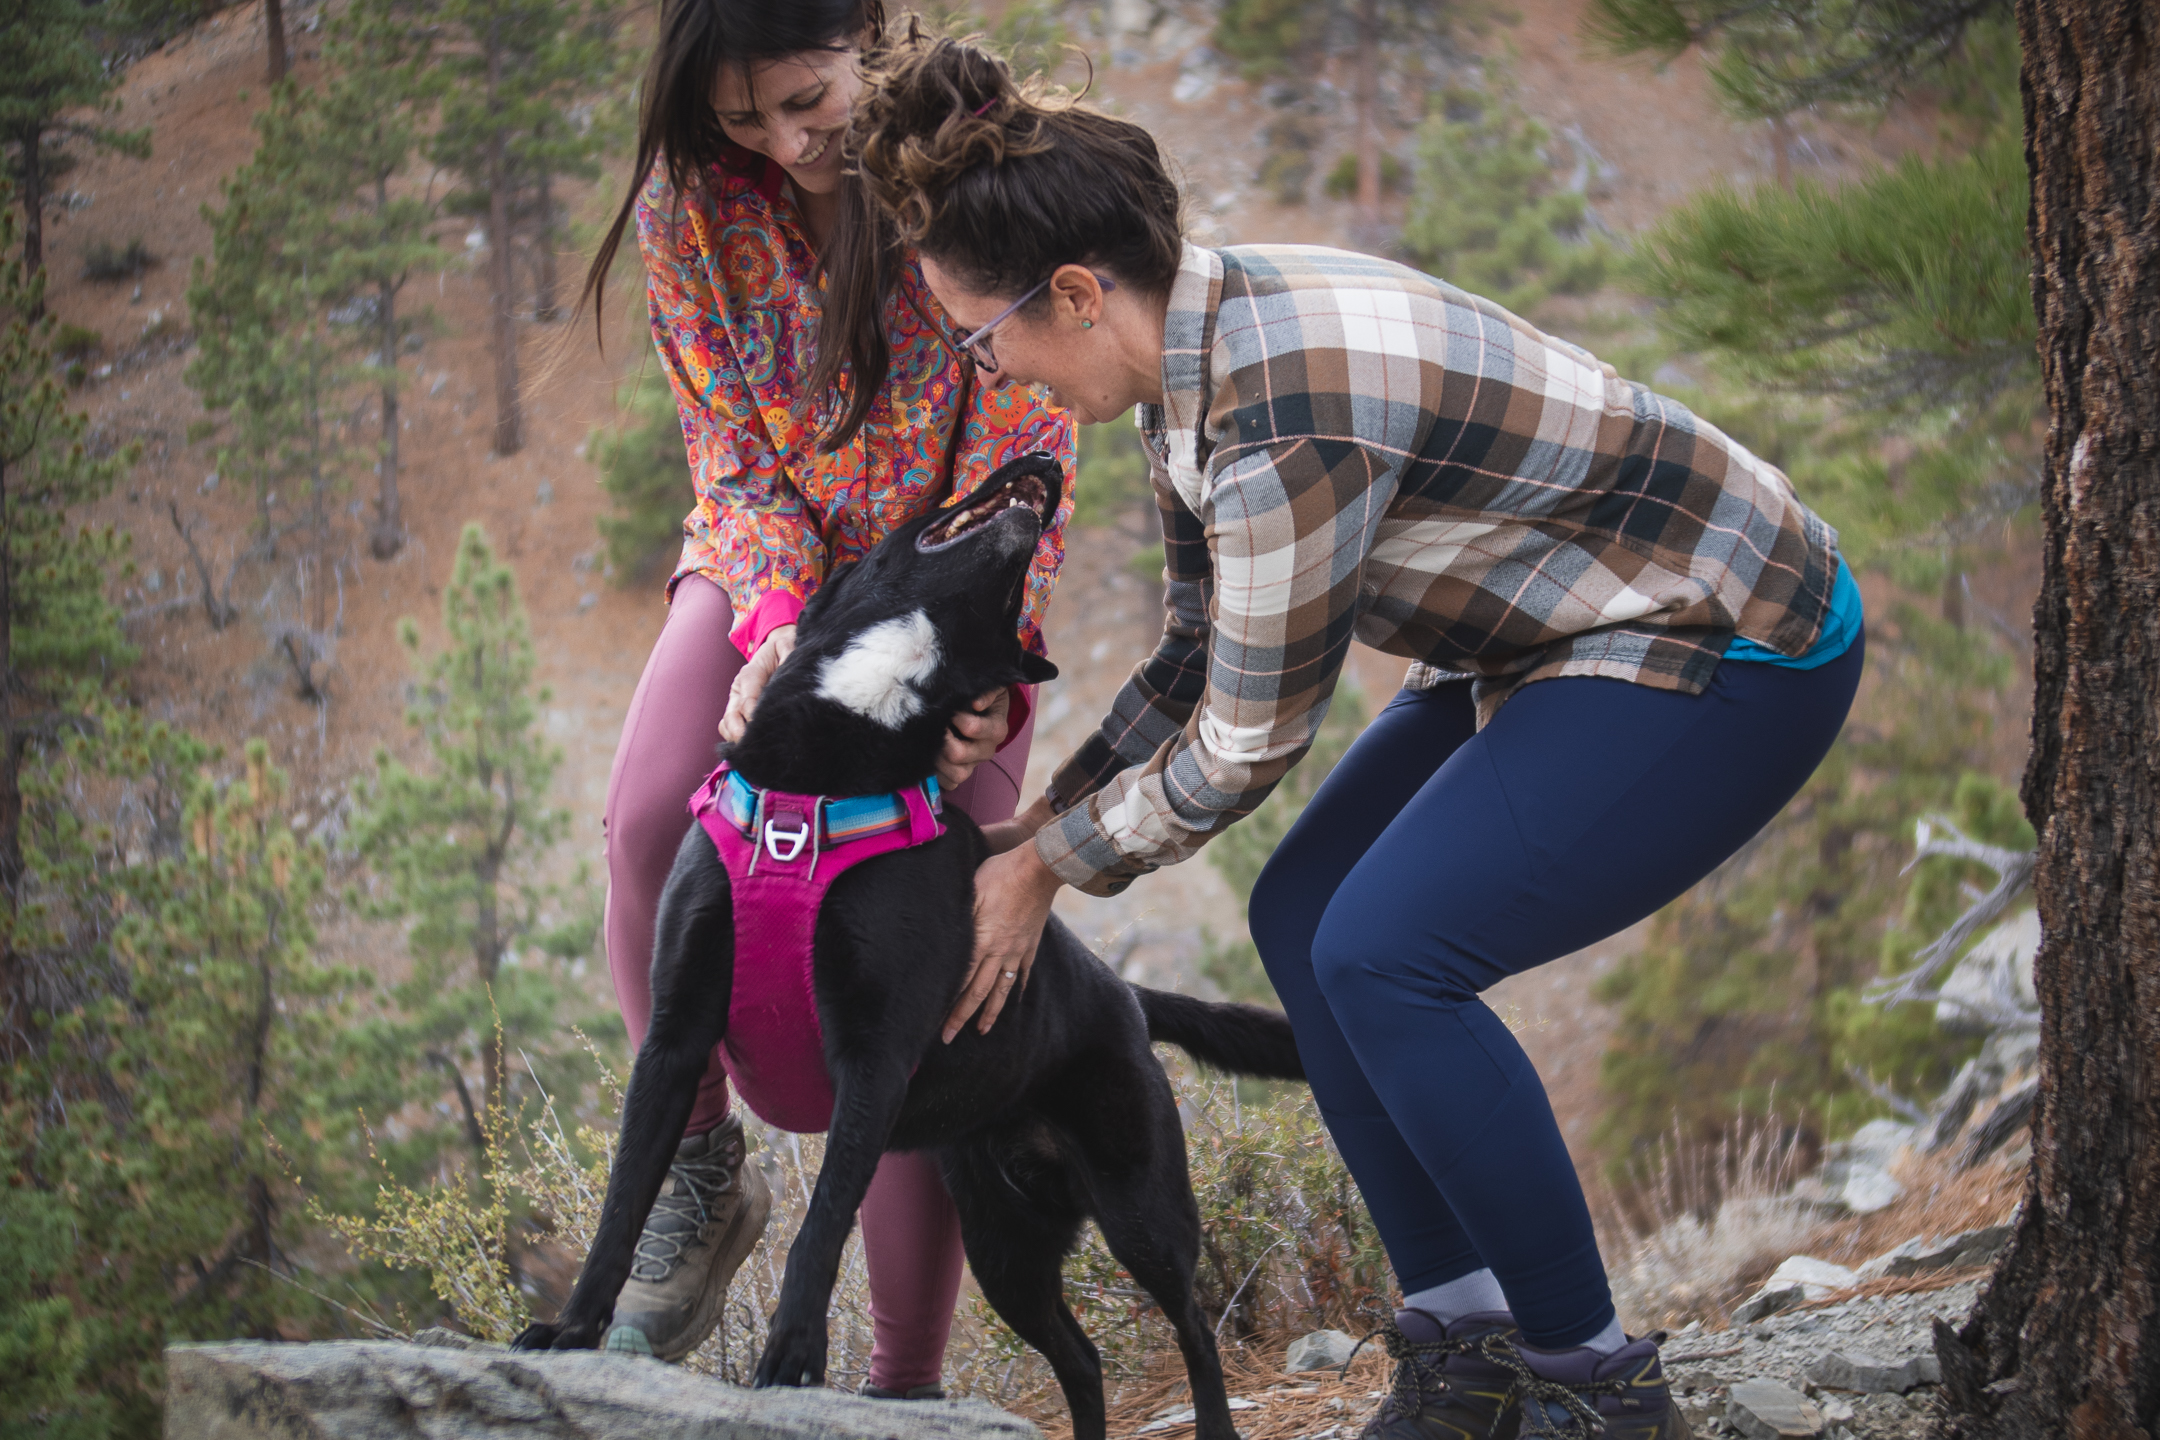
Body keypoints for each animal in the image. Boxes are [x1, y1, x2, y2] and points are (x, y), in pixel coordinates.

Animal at [514, 453, 1304, 1440]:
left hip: (1139, 1204)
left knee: (1196, 1322)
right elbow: (622, 1208)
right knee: (1079, 1356)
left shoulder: (873, 1061)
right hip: (1005, 1239)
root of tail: (1123, 995)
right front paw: (572, 1332)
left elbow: (820, 1227)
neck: (827, 768)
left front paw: (791, 1362)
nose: (1045, 465)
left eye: (1010, 604)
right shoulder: (675, 1040)